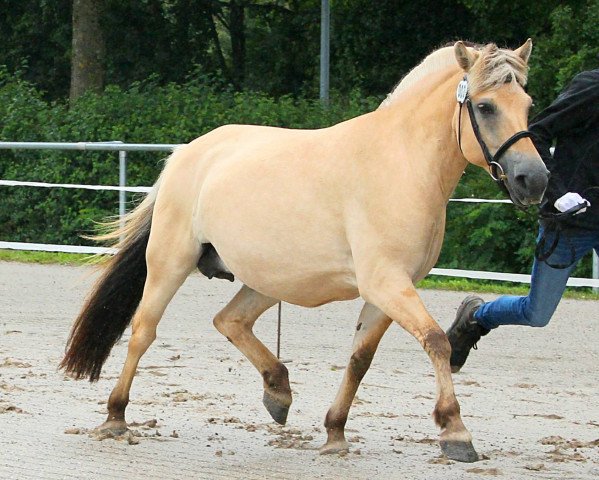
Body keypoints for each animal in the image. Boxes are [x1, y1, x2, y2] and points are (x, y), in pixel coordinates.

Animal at [59, 40, 548, 462]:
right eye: (484, 106)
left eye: (528, 106)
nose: (535, 180)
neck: (401, 165)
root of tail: (187, 154)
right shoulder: (387, 283)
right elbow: (436, 341)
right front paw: (454, 431)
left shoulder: (388, 291)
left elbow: (359, 359)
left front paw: (335, 431)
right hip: (170, 263)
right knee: (143, 330)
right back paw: (115, 415)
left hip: (266, 281)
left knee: (230, 321)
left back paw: (278, 392)